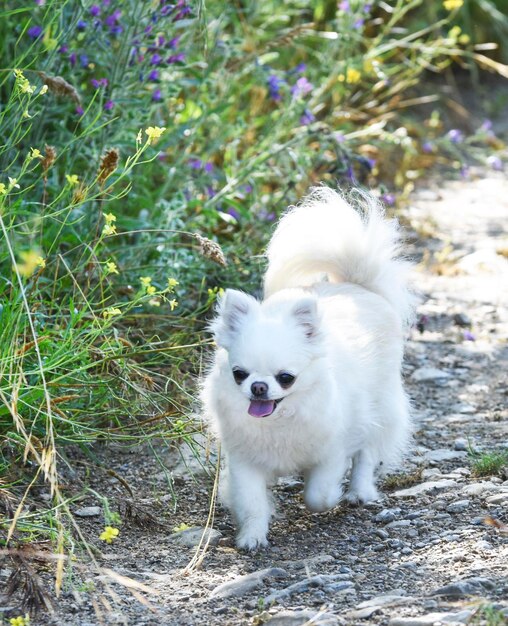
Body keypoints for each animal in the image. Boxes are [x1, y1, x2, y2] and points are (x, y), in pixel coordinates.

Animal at [200, 185, 414, 544]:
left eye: (286, 377)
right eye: (239, 375)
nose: (259, 387)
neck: (281, 420)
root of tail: (357, 285)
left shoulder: (331, 453)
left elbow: (319, 494)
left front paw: (329, 499)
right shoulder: (245, 462)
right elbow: (251, 502)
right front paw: (252, 537)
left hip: (379, 407)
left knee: (367, 454)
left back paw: (358, 492)